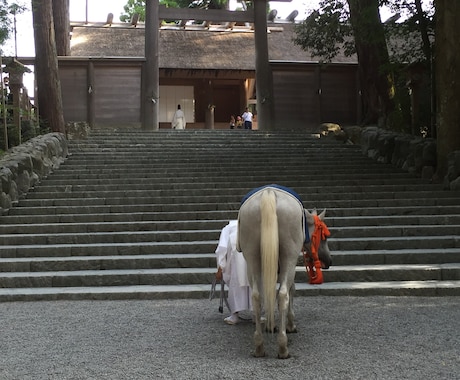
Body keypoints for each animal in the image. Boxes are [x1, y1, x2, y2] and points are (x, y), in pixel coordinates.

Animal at [237, 186, 330, 358]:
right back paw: (282, 346)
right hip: (289, 256)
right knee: (283, 294)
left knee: (257, 296)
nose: (329, 260)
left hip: (252, 257)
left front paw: (270, 324)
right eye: (324, 237)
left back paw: (259, 345)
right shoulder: (289, 266)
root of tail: (269, 193)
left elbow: (268, 293)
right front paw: (290, 324)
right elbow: (291, 290)